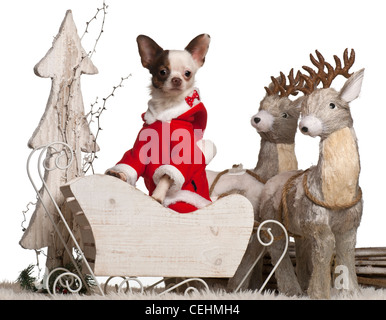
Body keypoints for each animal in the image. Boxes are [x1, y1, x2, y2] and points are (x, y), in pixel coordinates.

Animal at [105, 34, 216, 212]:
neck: (166, 108)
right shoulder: (141, 146)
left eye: (188, 73)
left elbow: (167, 174)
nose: (176, 79)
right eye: (162, 72)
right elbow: (131, 164)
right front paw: (119, 174)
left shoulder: (180, 155)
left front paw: (157, 195)